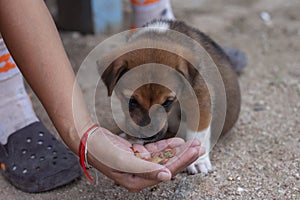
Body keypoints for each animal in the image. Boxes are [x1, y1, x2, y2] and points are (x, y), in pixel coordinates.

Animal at [101, 19, 241, 174]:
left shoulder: (200, 99)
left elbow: (199, 134)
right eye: (132, 101)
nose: (149, 136)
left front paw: (199, 161)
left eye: (167, 102)